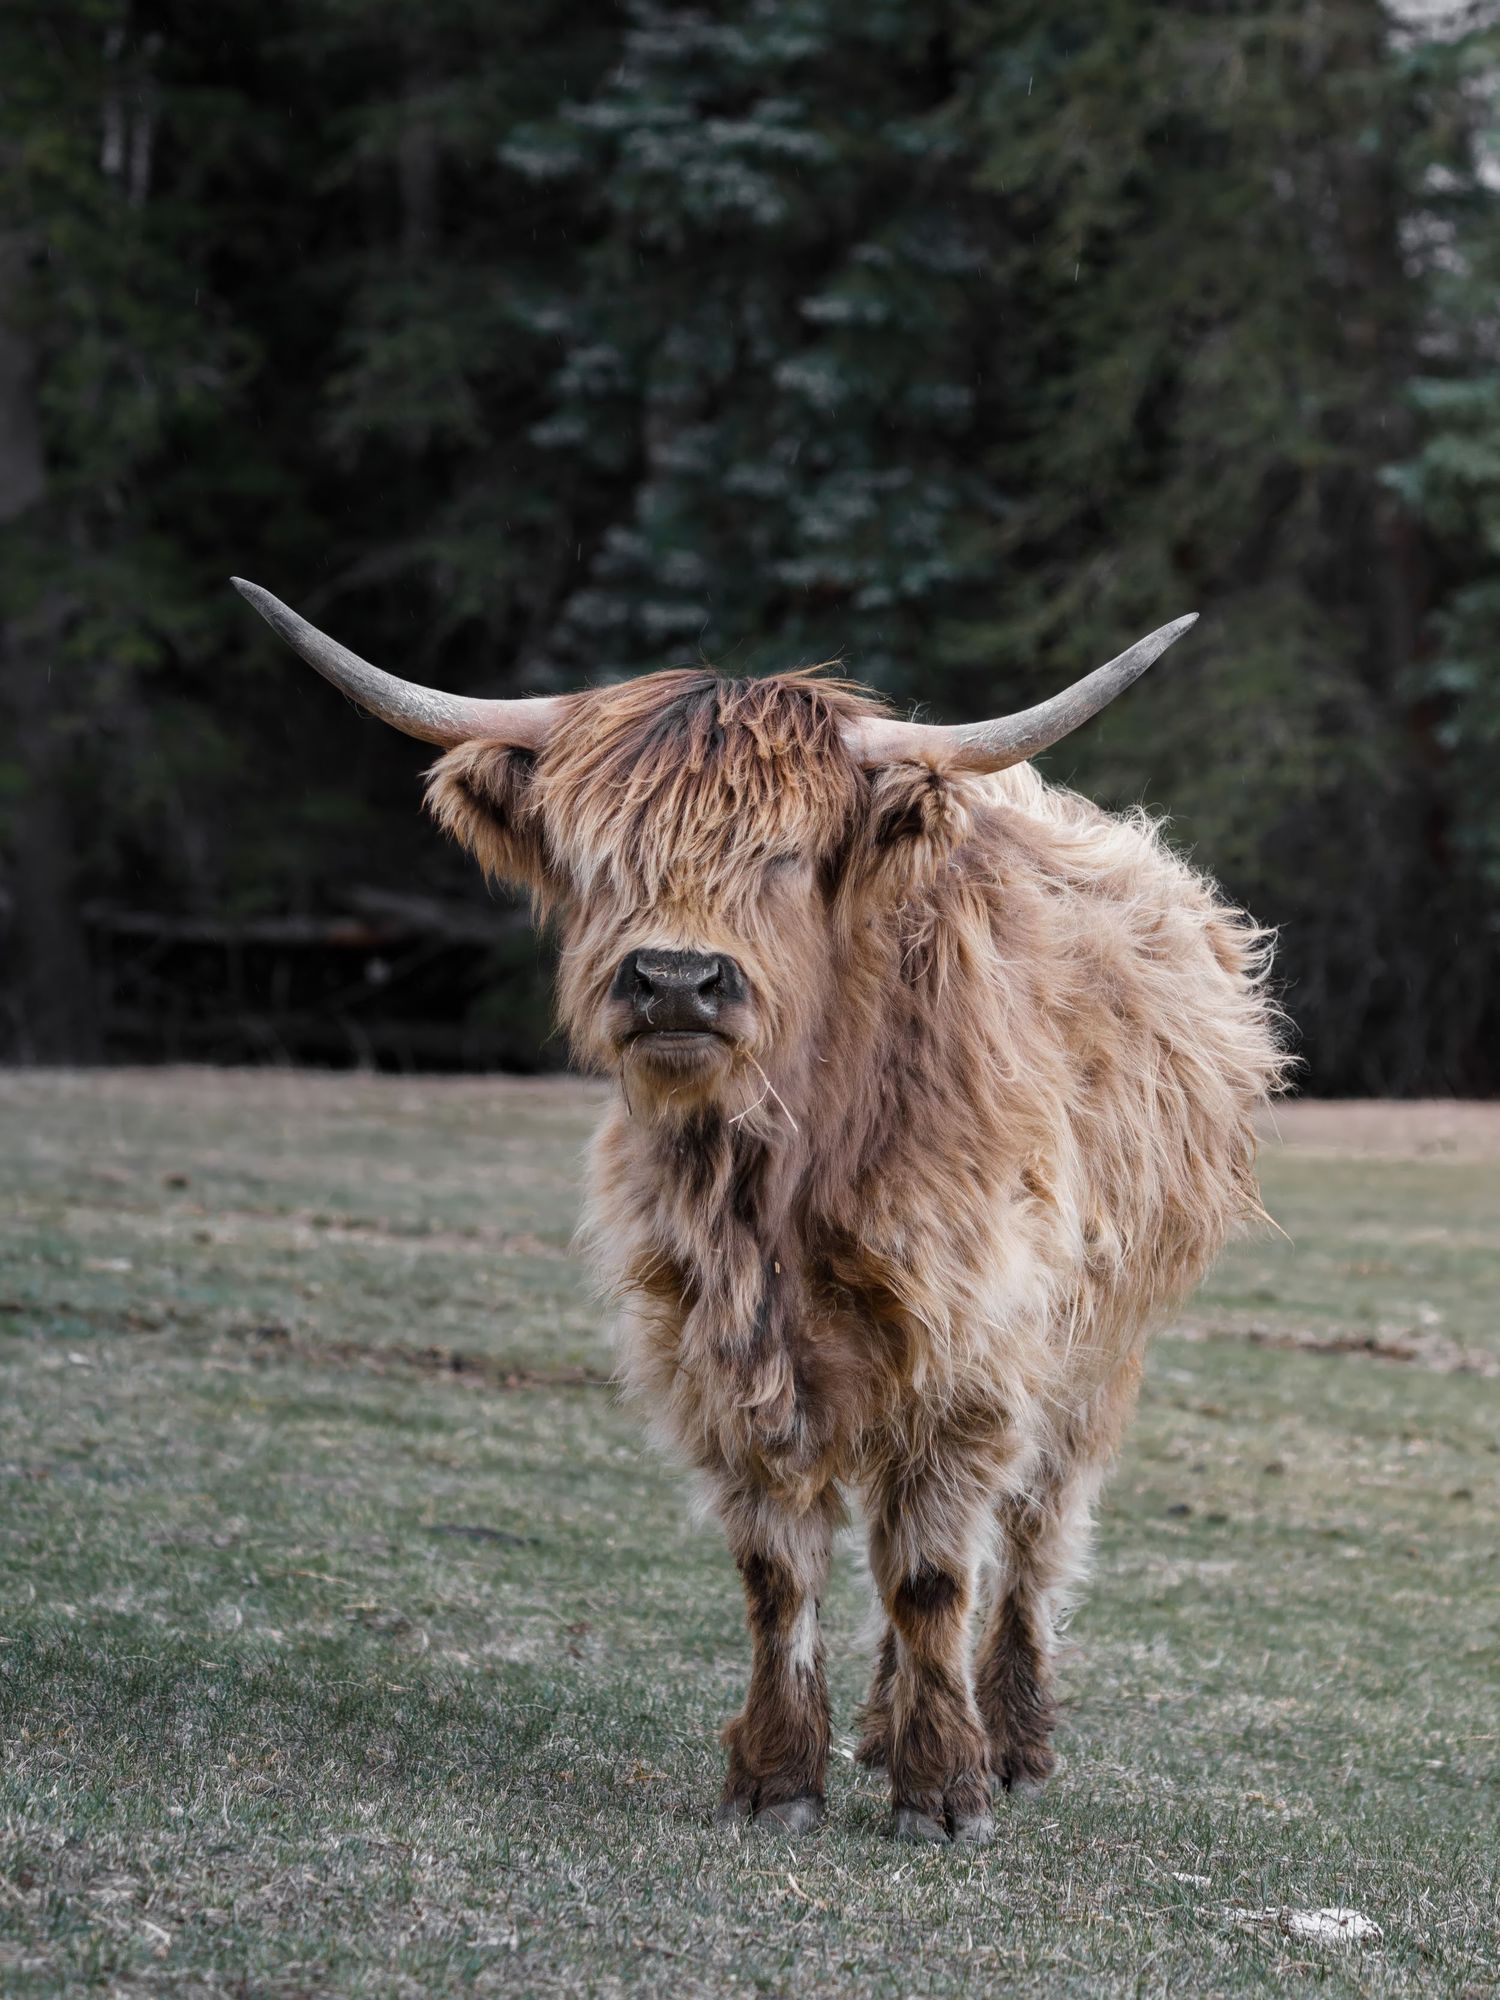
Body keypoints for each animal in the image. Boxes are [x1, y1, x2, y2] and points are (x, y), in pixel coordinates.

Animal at [234, 577, 1284, 1845]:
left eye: (783, 858)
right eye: (601, 857)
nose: (677, 979)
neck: (783, 1178)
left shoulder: (977, 1345)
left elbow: (935, 1568)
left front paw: (945, 1789)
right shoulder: (719, 1345)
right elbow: (781, 1570)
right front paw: (783, 1775)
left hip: (1100, 1343)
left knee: (1034, 1529)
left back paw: (1015, 1738)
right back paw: (884, 1723)